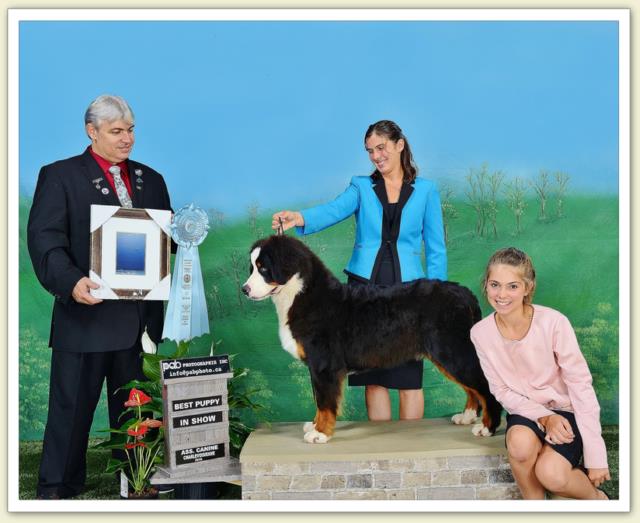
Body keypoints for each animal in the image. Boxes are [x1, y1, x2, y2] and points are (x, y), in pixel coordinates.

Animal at [241, 235, 500, 444]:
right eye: (252, 267)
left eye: (263, 268)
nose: (244, 289)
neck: (301, 295)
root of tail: (465, 293)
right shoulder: (316, 367)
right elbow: (319, 399)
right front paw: (313, 425)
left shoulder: (323, 365)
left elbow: (325, 402)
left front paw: (320, 433)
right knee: (472, 389)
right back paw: (467, 416)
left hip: (453, 351)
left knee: (484, 386)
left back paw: (487, 427)